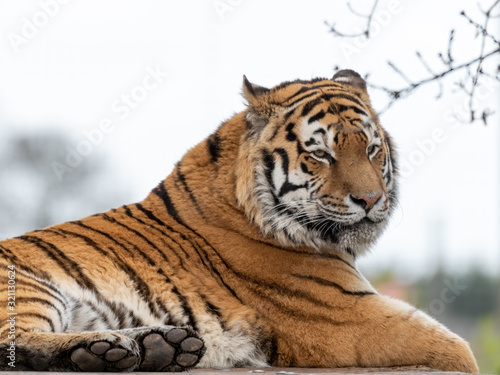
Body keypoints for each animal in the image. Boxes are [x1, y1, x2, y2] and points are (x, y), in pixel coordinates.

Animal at [0, 70, 480, 374]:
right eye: (321, 153)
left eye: (371, 150)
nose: (370, 200)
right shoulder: (348, 315)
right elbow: (460, 352)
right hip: (30, 287)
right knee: (13, 344)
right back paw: (111, 350)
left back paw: (158, 347)